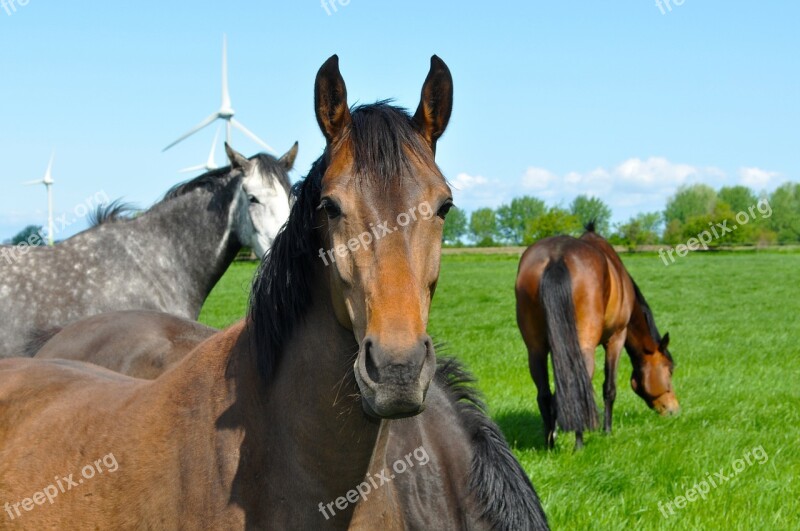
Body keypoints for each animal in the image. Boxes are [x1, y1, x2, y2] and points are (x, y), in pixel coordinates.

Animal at [516, 222, 680, 450]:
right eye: (670, 369)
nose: (674, 409)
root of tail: (556, 257)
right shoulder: (617, 338)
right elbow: (609, 388)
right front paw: (607, 431)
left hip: (536, 350)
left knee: (545, 394)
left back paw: (550, 444)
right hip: (584, 347)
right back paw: (579, 444)